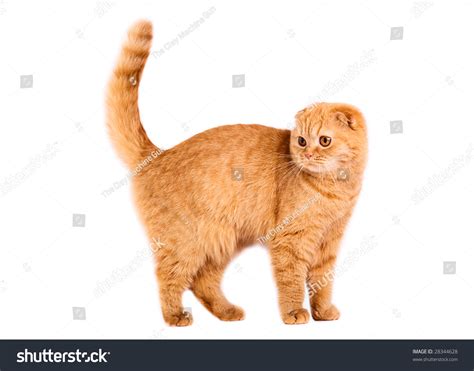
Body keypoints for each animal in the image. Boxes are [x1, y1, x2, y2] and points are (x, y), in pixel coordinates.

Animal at [106, 21, 366, 328]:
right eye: (301, 141)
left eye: (324, 141)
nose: (307, 155)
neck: (335, 188)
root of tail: (158, 154)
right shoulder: (291, 241)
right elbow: (292, 281)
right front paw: (294, 313)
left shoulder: (329, 242)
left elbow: (322, 282)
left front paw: (323, 313)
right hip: (185, 242)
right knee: (168, 277)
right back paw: (175, 316)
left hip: (222, 242)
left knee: (202, 282)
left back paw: (227, 311)